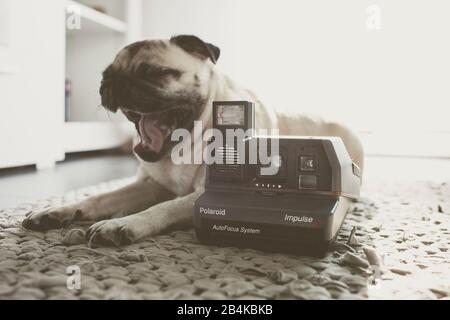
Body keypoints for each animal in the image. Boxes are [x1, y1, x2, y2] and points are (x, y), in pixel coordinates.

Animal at [22, 35, 364, 246]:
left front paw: (124, 223)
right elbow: (100, 198)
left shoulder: (199, 194)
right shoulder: (150, 186)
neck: (184, 142)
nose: (114, 82)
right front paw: (59, 211)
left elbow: (165, 208)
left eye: (155, 72)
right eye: (106, 74)